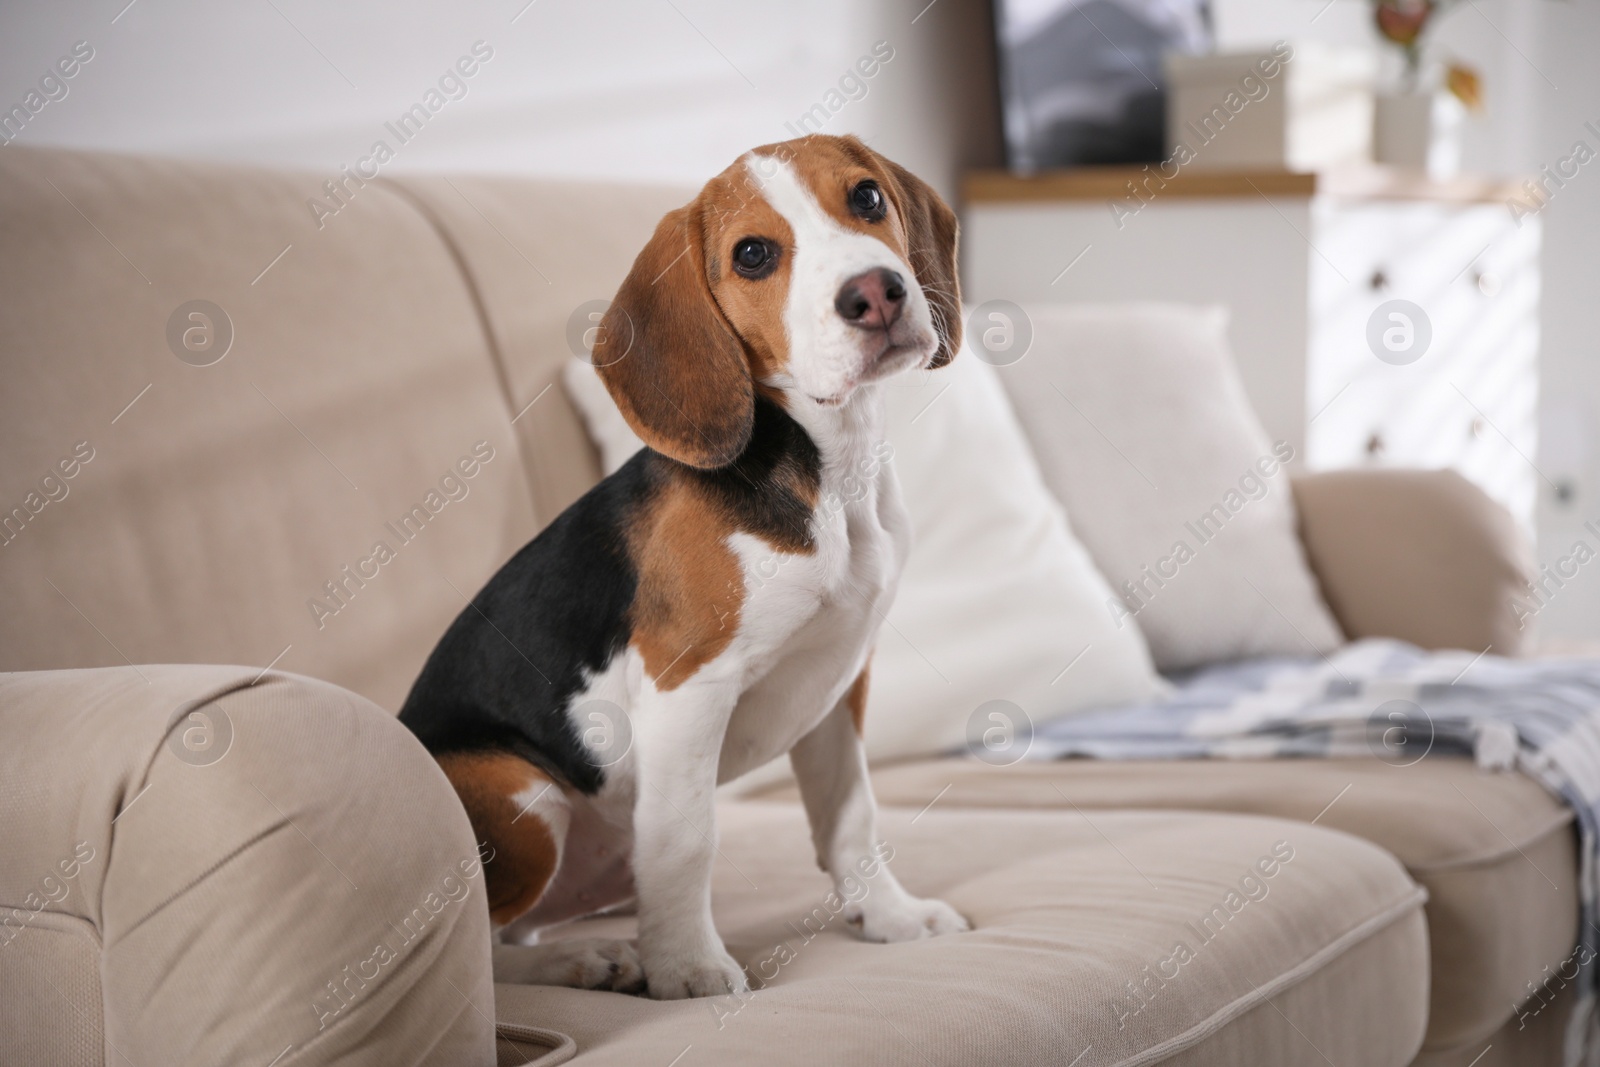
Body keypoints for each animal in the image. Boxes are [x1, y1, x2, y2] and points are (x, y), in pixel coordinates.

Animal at [406, 133, 966, 1004]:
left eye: (867, 198)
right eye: (753, 254)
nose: (875, 293)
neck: (831, 476)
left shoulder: (839, 682)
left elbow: (851, 815)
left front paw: (889, 916)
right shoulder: (687, 685)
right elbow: (685, 842)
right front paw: (689, 968)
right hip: (518, 798)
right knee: (485, 952)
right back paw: (587, 959)